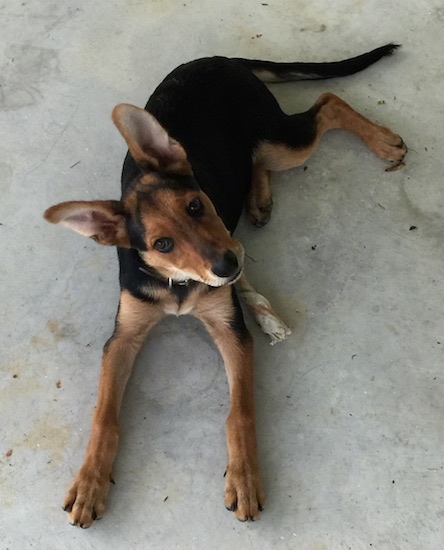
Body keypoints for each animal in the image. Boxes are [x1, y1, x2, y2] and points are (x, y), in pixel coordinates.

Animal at [44, 42, 406, 528]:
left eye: (197, 205)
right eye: (162, 243)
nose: (230, 263)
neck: (179, 284)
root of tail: (222, 59)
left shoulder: (231, 329)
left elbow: (240, 413)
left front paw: (245, 478)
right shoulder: (123, 336)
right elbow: (104, 416)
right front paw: (89, 483)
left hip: (279, 141)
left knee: (326, 104)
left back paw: (382, 141)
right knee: (263, 154)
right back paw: (257, 199)